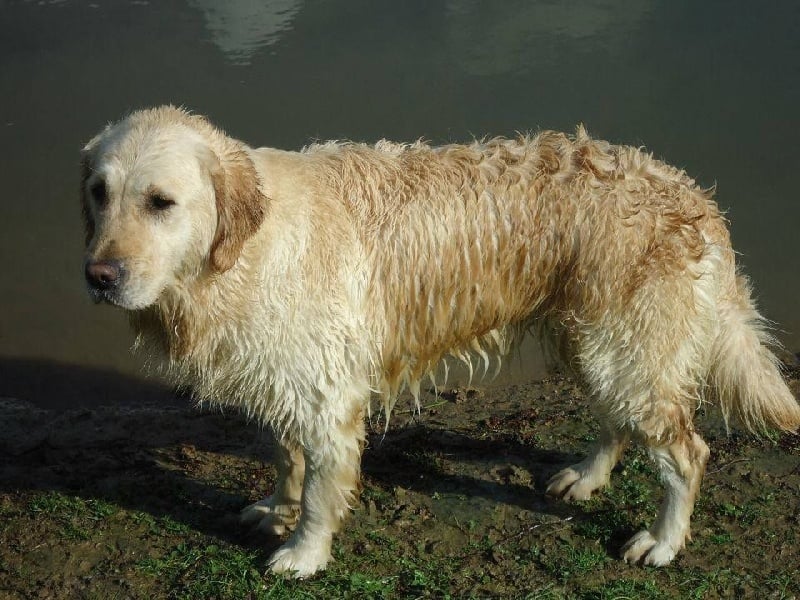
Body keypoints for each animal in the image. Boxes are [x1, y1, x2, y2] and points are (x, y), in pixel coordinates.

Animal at [83, 106, 800, 576]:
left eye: (160, 201)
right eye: (98, 192)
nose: (99, 276)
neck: (242, 252)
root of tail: (691, 193)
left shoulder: (329, 398)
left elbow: (320, 489)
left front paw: (303, 553)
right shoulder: (285, 376)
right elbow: (287, 459)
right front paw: (275, 510)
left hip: (627, 345)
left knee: (687, 452)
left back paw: (663, 541)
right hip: (595, 340)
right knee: (618, 421)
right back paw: (587, 476)